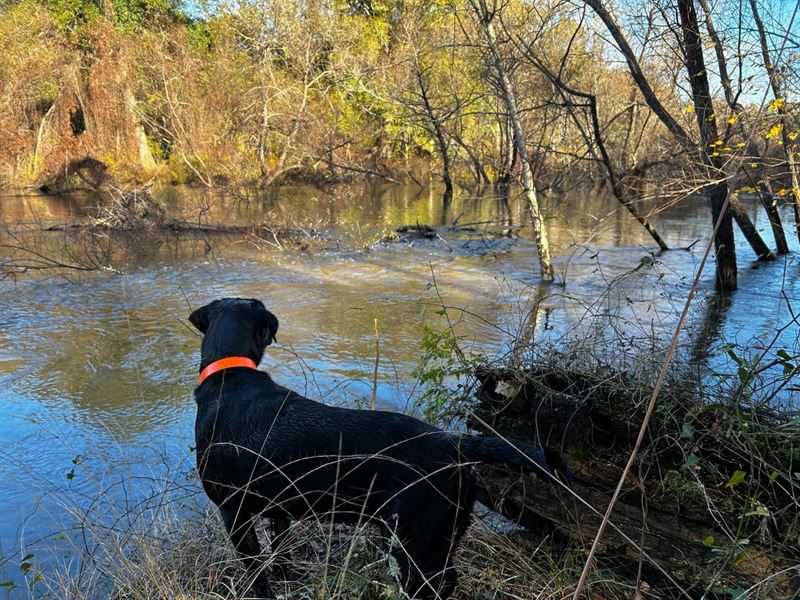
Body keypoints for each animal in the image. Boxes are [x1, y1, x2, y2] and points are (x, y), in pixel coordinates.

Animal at [190, 298, 560, 596]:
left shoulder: (233, 512)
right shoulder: (278, 510)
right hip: (440, 537)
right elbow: (281, 554)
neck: (228, 377)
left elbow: (256, 572)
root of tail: (454, 444)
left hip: (413, 544)